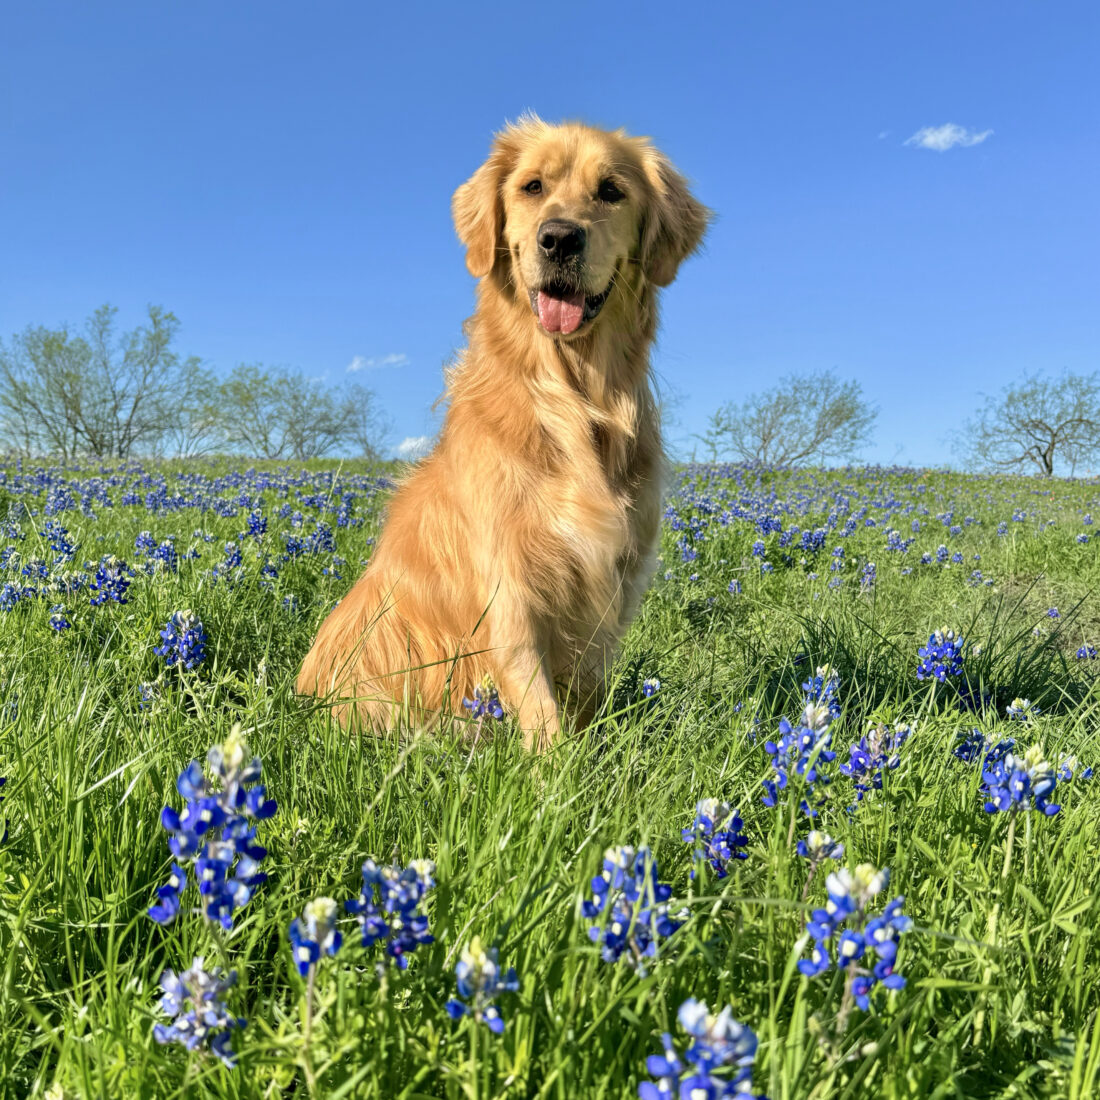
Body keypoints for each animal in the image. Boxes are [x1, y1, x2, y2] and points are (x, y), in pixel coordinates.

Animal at [294, 116, 704, 748]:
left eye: (611, 191)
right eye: (532, 186)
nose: (559, 238)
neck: (573, 399)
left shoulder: (611, 587)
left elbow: (585, 702)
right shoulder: (508, 588)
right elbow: (543, 712)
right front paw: (559, 769)